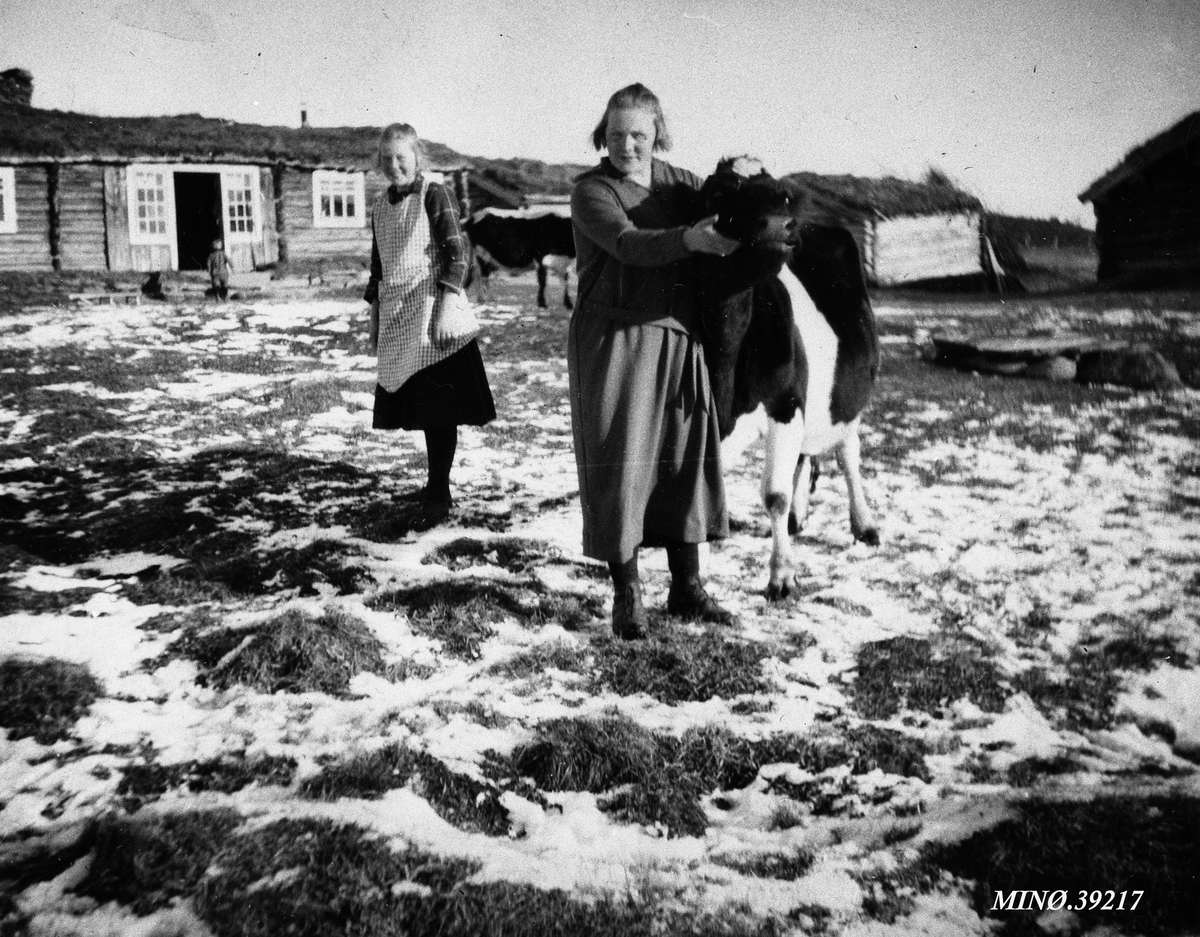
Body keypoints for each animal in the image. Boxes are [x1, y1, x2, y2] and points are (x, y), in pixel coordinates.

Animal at [696, 164, 883, 595]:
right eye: (721, 193)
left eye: (782, 195)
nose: (780, 226)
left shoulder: (785, 403)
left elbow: (775, 495)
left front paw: (782, 574)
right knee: (805, 457)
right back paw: (799, 518)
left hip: (844, 399)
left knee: (848, 456)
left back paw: (864, 524)